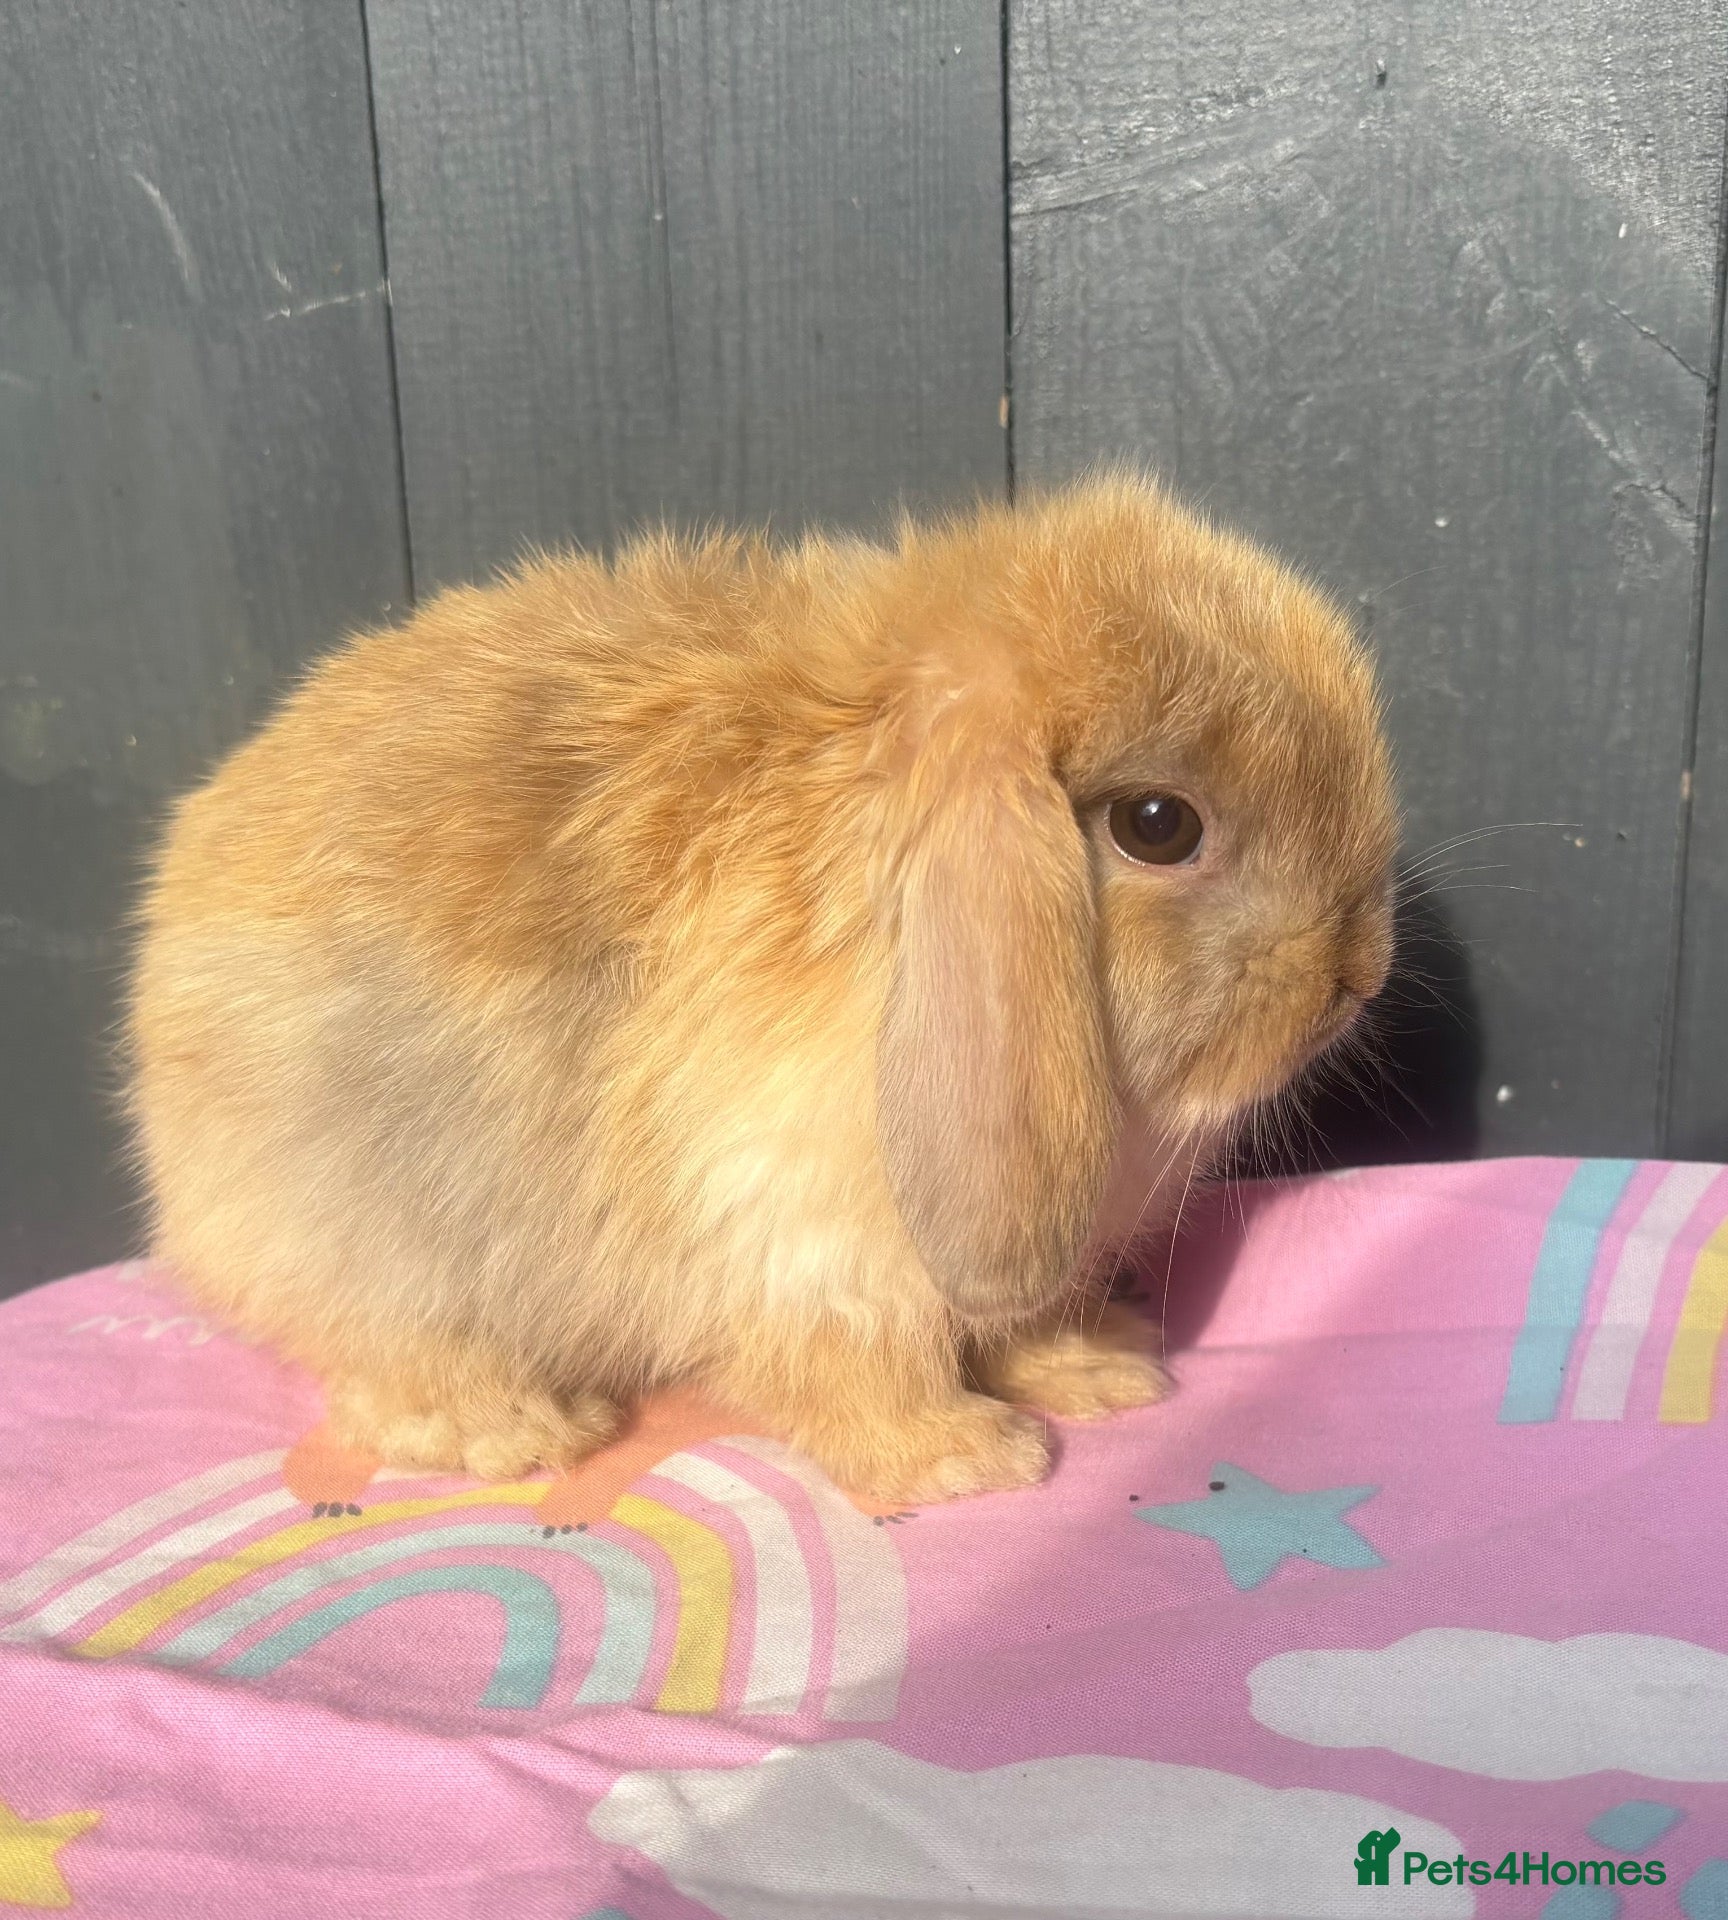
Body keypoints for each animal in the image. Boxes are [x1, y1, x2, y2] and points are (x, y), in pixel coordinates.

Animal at [125, 473, 1397, 1504]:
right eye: (1157, 824)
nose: (1358, 976)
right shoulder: (807, 1237)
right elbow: (857, 1370)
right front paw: (969, 1458)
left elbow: (1013, 1323)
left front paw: (1102, 1367)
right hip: (376, 1253)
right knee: (390, 1365)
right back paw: (526, 1430)